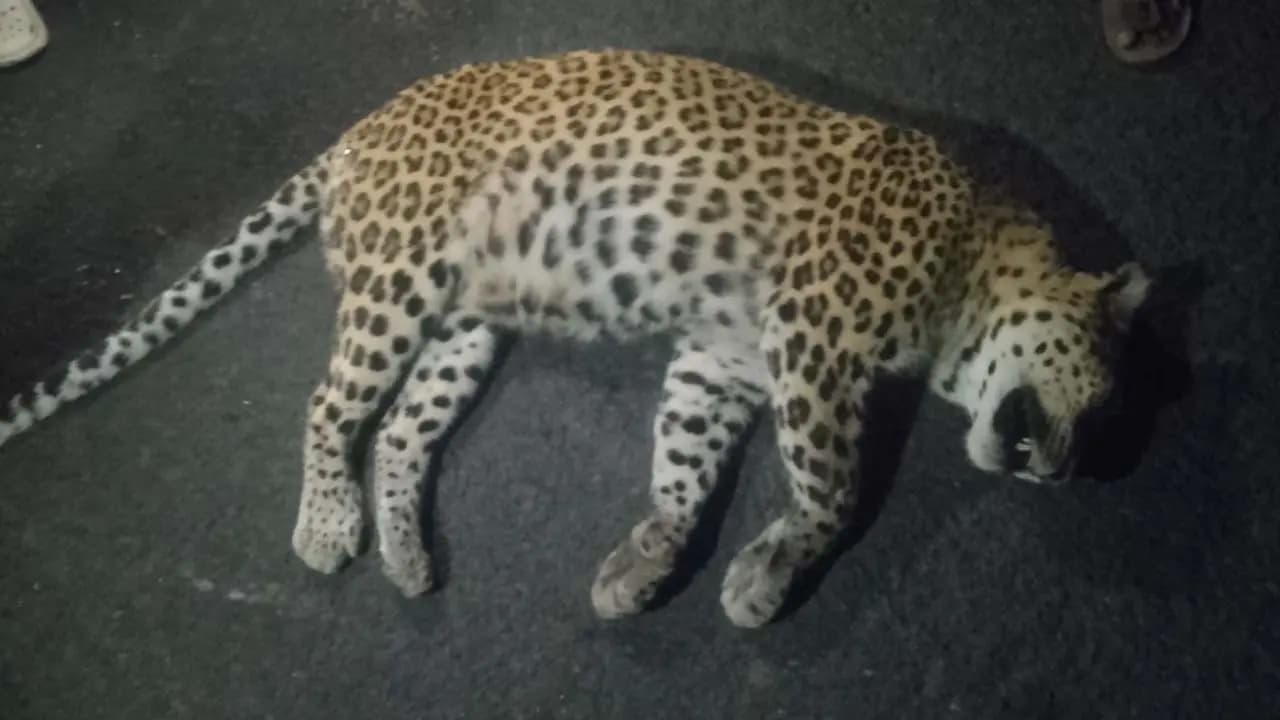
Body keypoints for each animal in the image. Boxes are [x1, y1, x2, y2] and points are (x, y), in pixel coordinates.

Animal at [0, 49, 1151, 628]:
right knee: (330, 406)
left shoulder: (726, 359)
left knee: (402, 431)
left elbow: (685, 463)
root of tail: (354, 137)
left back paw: (407, 555)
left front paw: (647, 559)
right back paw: (329, 524)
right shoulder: (811, 333)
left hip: (461, 327)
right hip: (397, 283)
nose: (1058, 474)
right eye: (1096, 402)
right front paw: (766, 580)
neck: (975, 253)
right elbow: (835, 492)